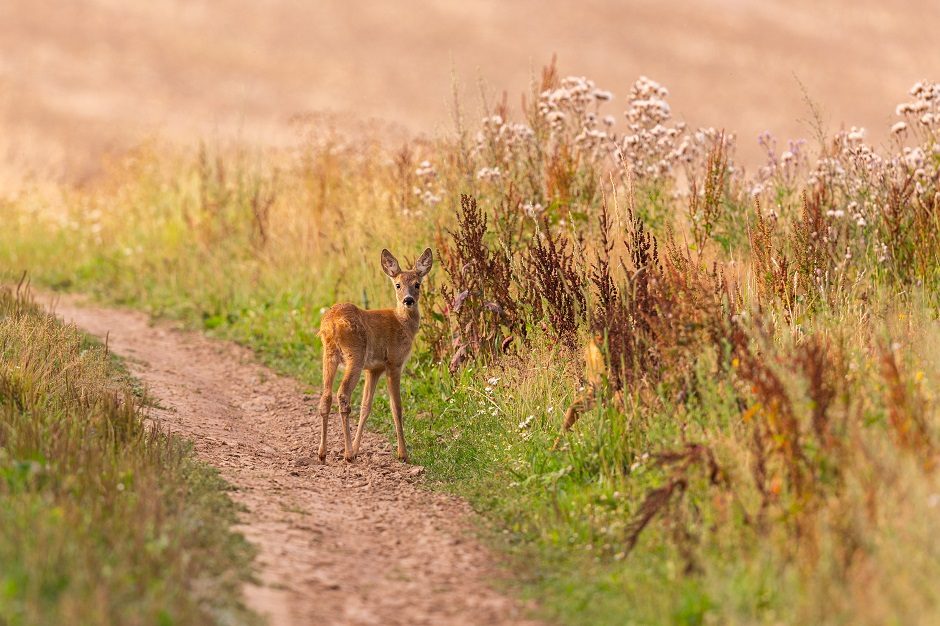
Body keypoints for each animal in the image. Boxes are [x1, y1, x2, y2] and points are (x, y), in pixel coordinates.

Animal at [316, 246, 434, 460]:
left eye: (417, 284)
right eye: (398, 285)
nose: (408, 300)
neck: (402, 323)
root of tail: (332, 324)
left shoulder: (374, 368)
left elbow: (366, 407)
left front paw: (357, 448)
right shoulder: (394, 362)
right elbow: (397, 407)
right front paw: (402, 454)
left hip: (329, 355)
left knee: (326, 396)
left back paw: (322, 453)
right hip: (355, 355)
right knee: (342, 394)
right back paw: (347, 454)